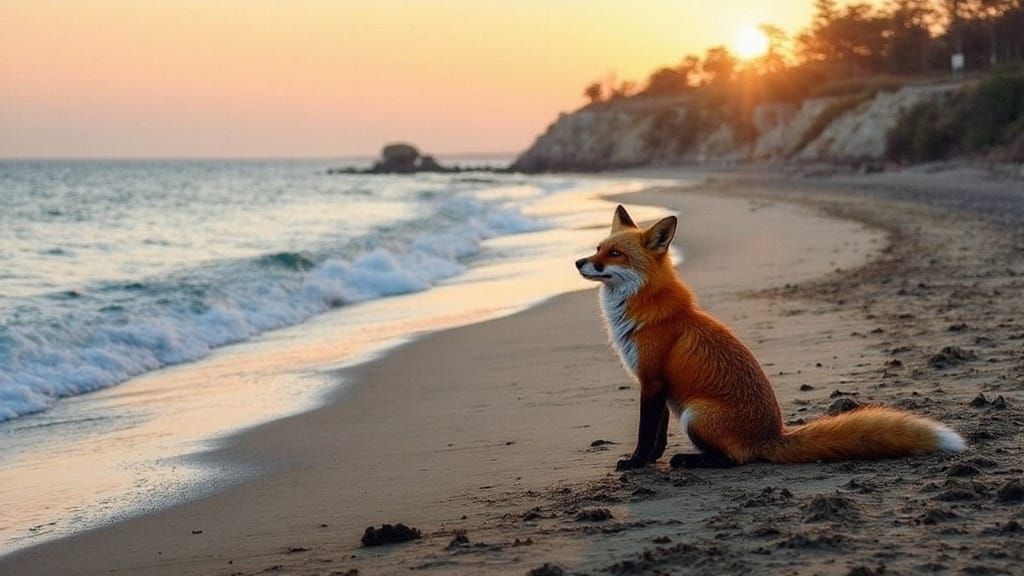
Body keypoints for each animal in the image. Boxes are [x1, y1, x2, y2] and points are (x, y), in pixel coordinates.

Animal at [575, 205, 967, 470]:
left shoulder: (653, 380)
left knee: (736, 460)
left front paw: (636, 464)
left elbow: (645, 432)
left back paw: (691, 460)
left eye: (614, 254)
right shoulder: (662, 387)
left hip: (696, 415)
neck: (642, 308)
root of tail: (772, 435)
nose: (578, 262)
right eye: (597, 247)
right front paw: (650, 460)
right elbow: (657, 435)